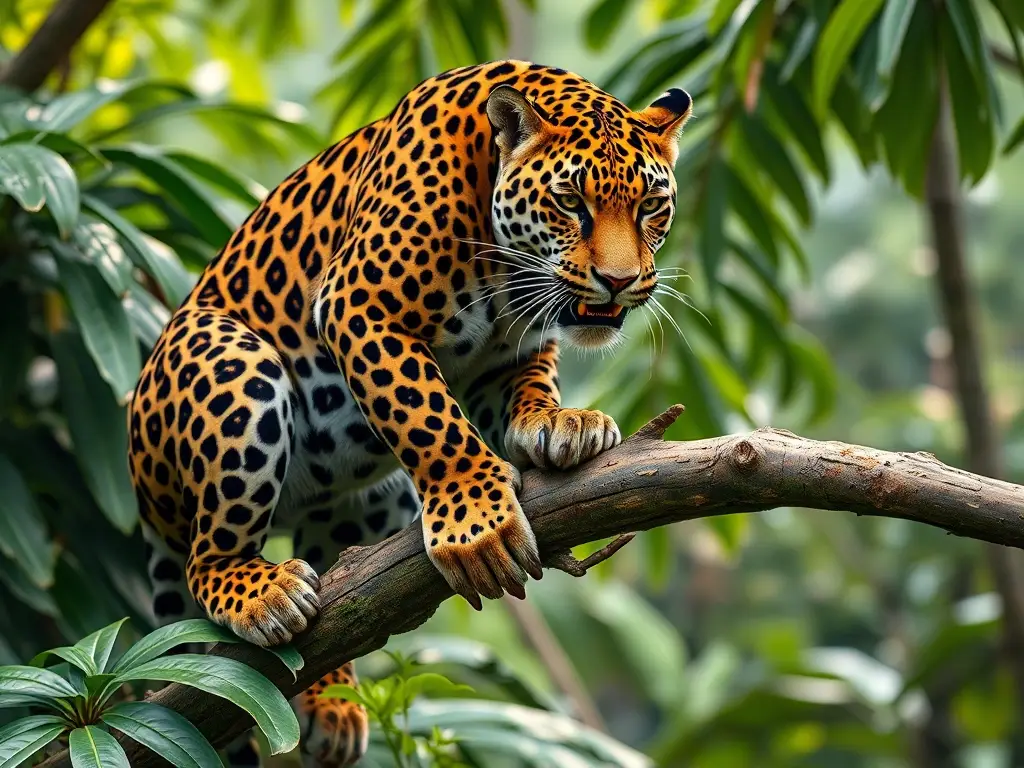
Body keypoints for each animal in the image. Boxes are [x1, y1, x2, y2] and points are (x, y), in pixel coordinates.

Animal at [128, 59, 691, 766]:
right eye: (570, 202)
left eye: (650, 206)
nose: (619, 282)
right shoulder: (360, 305)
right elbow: (426, 417)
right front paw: (478, 526)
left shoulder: (515, 348)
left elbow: (530, 384)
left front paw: (558, 424)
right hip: (233, 363)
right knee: (209, 558)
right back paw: (262, 593)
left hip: (367, 498)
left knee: (342, 587)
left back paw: (331, 699)